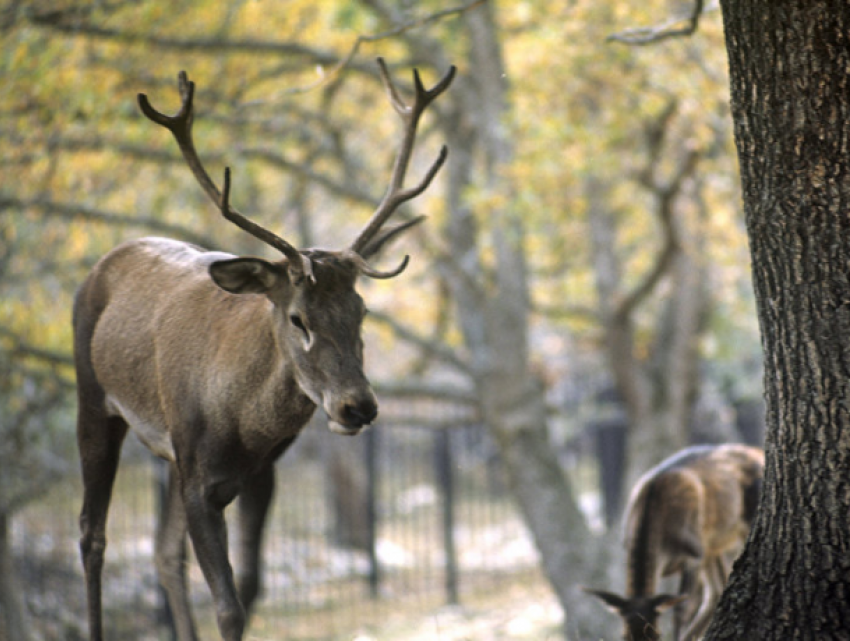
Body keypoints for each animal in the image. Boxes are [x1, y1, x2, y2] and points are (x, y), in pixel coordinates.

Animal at [73, 60, 454, 640]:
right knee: (92, 535)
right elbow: (228, 605)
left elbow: (250, 589)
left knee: (163, 554)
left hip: (166, 454)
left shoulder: (259, 473)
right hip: (93, 399)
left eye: (362, 310)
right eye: (298, 318)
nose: (357, 406)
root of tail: (104, 263)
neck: (240, 423)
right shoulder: (198, 474)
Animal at [584, 442, 760, 640]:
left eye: (657, 635)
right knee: (717, 589)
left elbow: (682, 608)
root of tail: (758, 452)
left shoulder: (692, 553)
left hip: (742, 522)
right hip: (711, 546)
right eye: (625, 635)